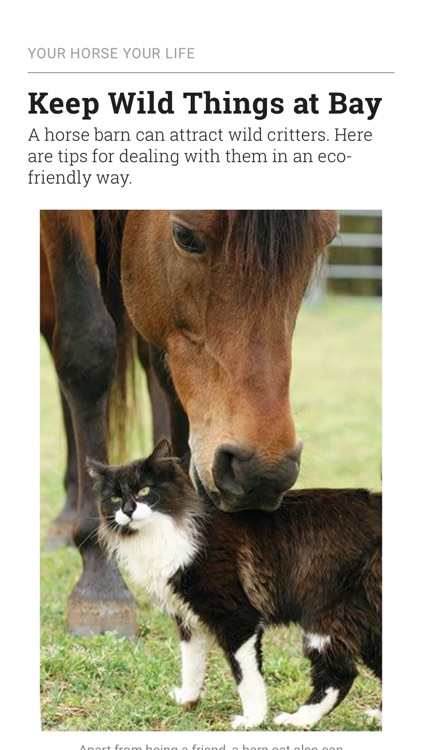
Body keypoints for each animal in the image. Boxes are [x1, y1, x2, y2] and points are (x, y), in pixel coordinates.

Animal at [41, 209, 337, 636]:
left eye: (327, 239)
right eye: (185, 236)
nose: (264, 472)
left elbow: (166, 372)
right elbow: (86, 349)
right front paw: (98, 585)